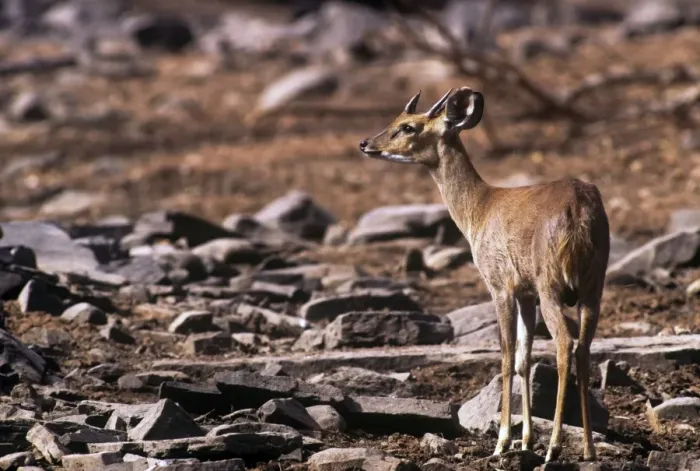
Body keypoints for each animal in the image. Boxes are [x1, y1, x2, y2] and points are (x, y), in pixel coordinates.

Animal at [359, 87, 609, 462]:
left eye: (409, 126)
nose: (366, 143)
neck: (478, 209)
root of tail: (578, 210)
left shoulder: (500, 284)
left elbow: (505, 356)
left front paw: (503, 441)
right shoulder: (526, 292)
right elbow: (523, 358)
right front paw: (525, 441)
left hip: (552, 282)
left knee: (565, 343)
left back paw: (554, 447)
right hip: (594, 284)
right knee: (583, 348)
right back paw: (589, 449)